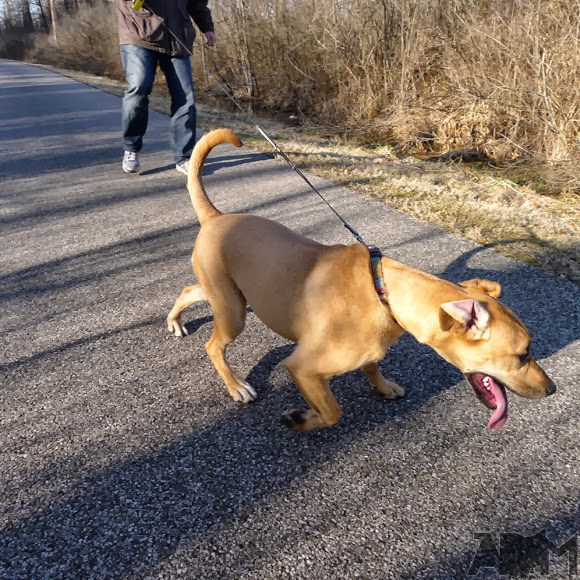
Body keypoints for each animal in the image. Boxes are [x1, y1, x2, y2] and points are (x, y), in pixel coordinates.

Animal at [165, 130, 556, 430]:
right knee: (213, 346)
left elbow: (372, 364)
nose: (552, 389)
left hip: (229, 296)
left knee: (189, 289)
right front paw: (301, 419)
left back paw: (175, 321)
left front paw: (382, 386)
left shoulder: (369, 348)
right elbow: (332, 411)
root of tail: (216, 217)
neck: (383, 294)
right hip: (233, 312)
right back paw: (236, 386)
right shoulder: (303, 368)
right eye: (522, 355)